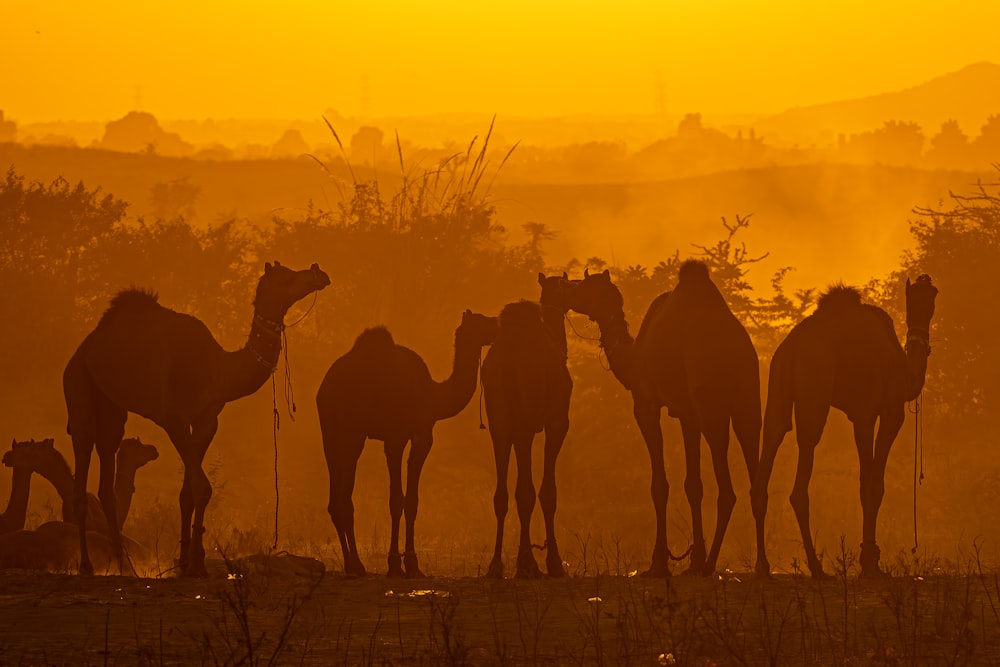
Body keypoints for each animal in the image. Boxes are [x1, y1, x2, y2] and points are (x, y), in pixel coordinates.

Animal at [64, 260, 330, 576]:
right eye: (287, 278)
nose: (319, 272)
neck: (217, 369)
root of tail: (85, 348)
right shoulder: (173, 419)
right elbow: (202, 487)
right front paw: (197, 564)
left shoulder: (206, 420)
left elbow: (188, 492)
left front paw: (185, 563)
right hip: (79, 386)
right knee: (82, 463)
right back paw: (87, 566)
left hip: (112, 407)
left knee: (107, 466)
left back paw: (126, 567)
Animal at [318, 310, 498, 576]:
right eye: (482, 320)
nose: (499, 324)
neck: (433, 395)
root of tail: (326, 389)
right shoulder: (402, 437)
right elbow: (398, 500)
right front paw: (398, 564)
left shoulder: (415, 435)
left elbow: (410, 500)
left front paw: (409, 564)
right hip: (351, 432)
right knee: (344, 498)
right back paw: (357, 565)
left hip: (329, 433)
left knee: (335, 500)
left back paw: (351, 565)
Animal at [480, 274, 576, 576]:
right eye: (568, 286)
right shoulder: (557, 421)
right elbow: (547, 493)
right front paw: (554, 563)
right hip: (523, 419)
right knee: (525, 491)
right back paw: (529, 564)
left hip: (498, 419)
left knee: (501, 494)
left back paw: (496, 565)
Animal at [564, 264, 756, 576]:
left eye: (584, 286)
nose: (566, 291)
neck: (634, 359)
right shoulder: (687, 414)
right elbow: (694, 485)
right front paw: (693, 560)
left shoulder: (646, 404)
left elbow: (659, 485)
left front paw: (658, 563)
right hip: (749, 403)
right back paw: (757, 564)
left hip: (712, 408)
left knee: (728, 489)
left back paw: (711, 565)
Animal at [752, 274, 936, 576]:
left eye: (931, 295)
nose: (925, 278)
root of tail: (790, 350)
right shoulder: (886, 411)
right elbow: (874, 485)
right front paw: (871, 563)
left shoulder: (860, 416)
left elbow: (864, 483)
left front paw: (869, 558)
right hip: (814, 393)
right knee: (802, 471)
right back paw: (817, 568)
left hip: (776, 389)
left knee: (771, 441)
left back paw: (763, 566)